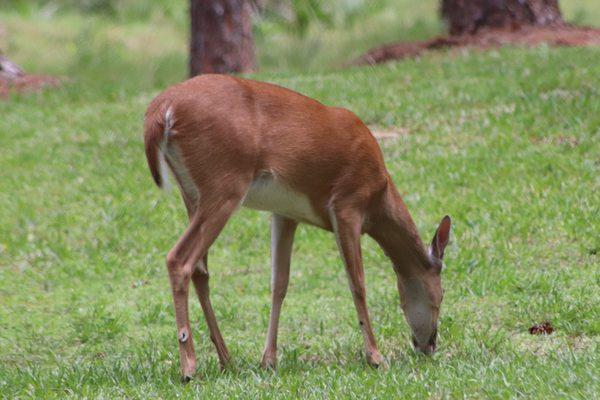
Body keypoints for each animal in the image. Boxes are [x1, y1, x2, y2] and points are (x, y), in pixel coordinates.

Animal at [144, 75, 450, 382]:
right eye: (442, 292)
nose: (429, 345)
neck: (379, 196)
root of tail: (161, 109)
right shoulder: (347, 204)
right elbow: (357, 283)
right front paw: (375, 357)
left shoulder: (285, 213)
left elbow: (279, 283)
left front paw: (268, 360)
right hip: (225, 184)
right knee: (179, 259)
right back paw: (189, 366)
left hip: (192, 194)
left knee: (200, 269)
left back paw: (226, 359)